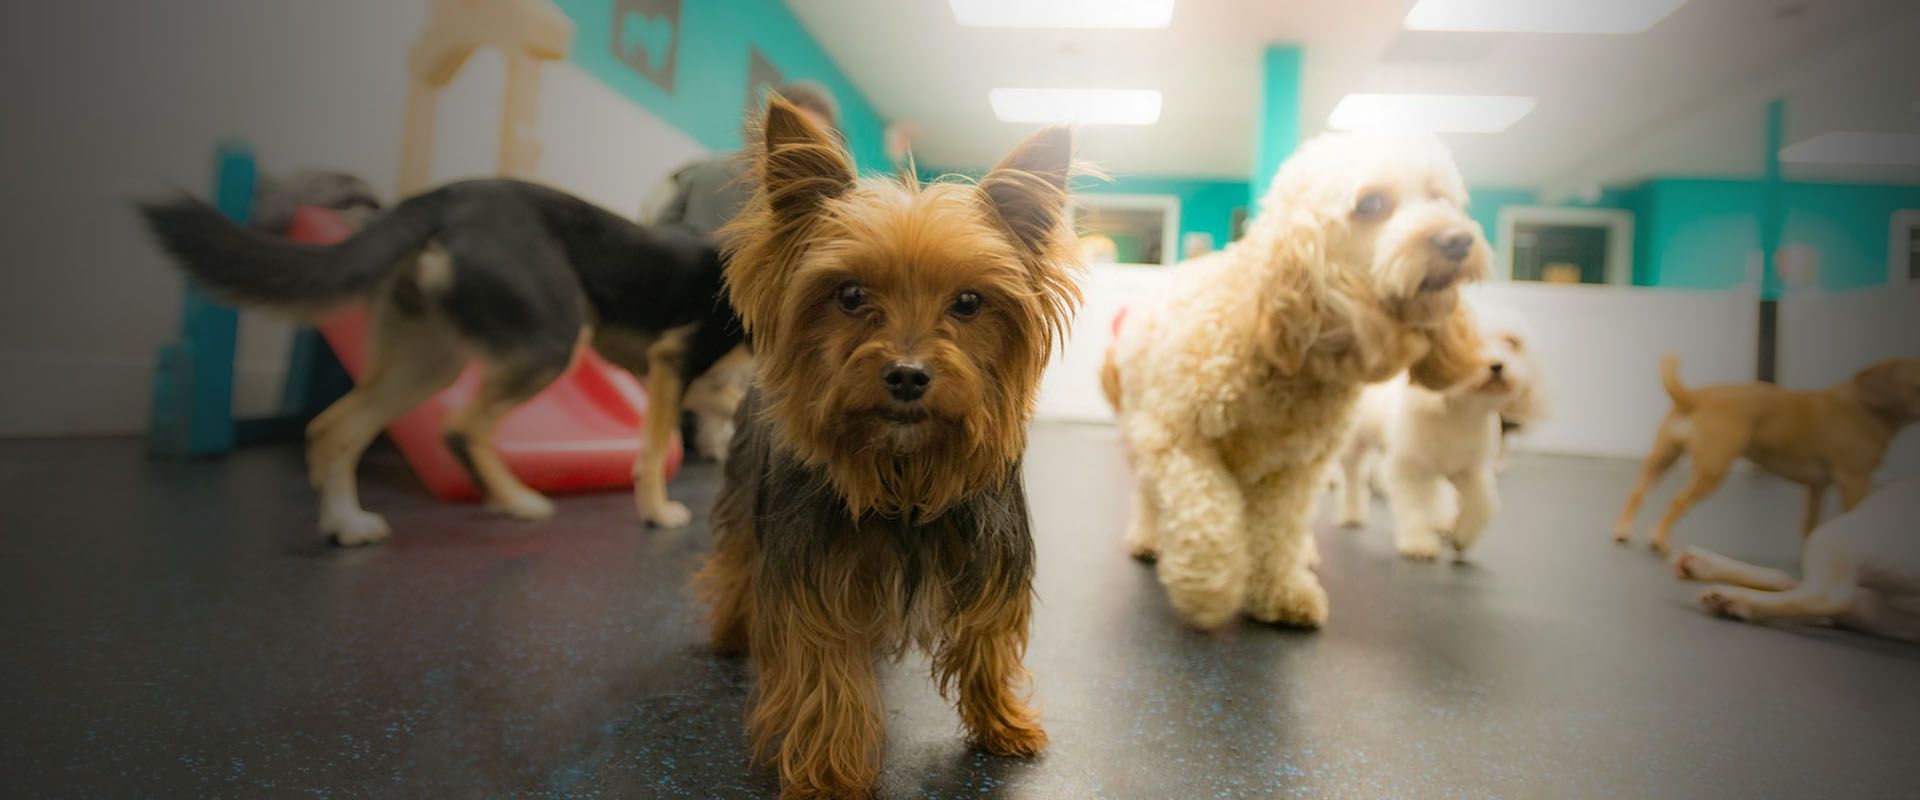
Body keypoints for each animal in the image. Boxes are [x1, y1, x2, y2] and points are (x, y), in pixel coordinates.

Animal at [137, 180, 741, 541]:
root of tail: (451, 196)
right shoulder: (673, 360)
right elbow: (655, 449)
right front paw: (657, 511)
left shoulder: (696, 381)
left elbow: (719, 412)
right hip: (551, 341)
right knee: (460, 429)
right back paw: (517, 502)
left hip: (428, 363)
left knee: (333, 429)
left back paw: (346, 524)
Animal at [1105, 132, 1489, 629]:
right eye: (1371, 204)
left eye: (1439, 196)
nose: (1458, 240)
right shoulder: (1174, 441)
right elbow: (1208, 512)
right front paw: (1207, 586)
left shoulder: (1296, 469)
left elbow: (1277, 530)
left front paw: (1279, 591)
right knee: (1152, 497)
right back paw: (1150, 538)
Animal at [1336, 305, 1543, 560]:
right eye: (1466, 340)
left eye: (1512, 342)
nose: (1497, 365)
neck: (1460, 414)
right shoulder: (1407, 467)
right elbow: (1414, 506)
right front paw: (1418, 543)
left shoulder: (1471, 468)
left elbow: (1484, 503)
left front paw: (1463, 536)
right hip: (1353, 445)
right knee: (1352, 477)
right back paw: (1351, 513)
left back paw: (1442, 521)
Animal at [1612, 358, 1920, 552]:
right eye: (1917, 385)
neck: (1863, 407)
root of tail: (1696, 397)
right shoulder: (1855, 480)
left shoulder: (1817, 486)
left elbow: (1810, 525)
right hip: (1712, 470)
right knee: (1677, 502)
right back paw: (1659, 539)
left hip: (1664, 457)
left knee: (1637, 492)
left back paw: (1623, 530)